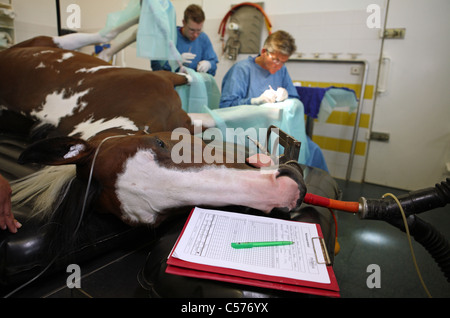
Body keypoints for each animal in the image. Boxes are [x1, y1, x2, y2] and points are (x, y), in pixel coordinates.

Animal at [0, 36, 306, 241]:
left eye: (157, 144)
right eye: (159, 219)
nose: (285, 190)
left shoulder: (167, 81)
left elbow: (223, 107)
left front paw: (276, 101)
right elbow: (224, 113)